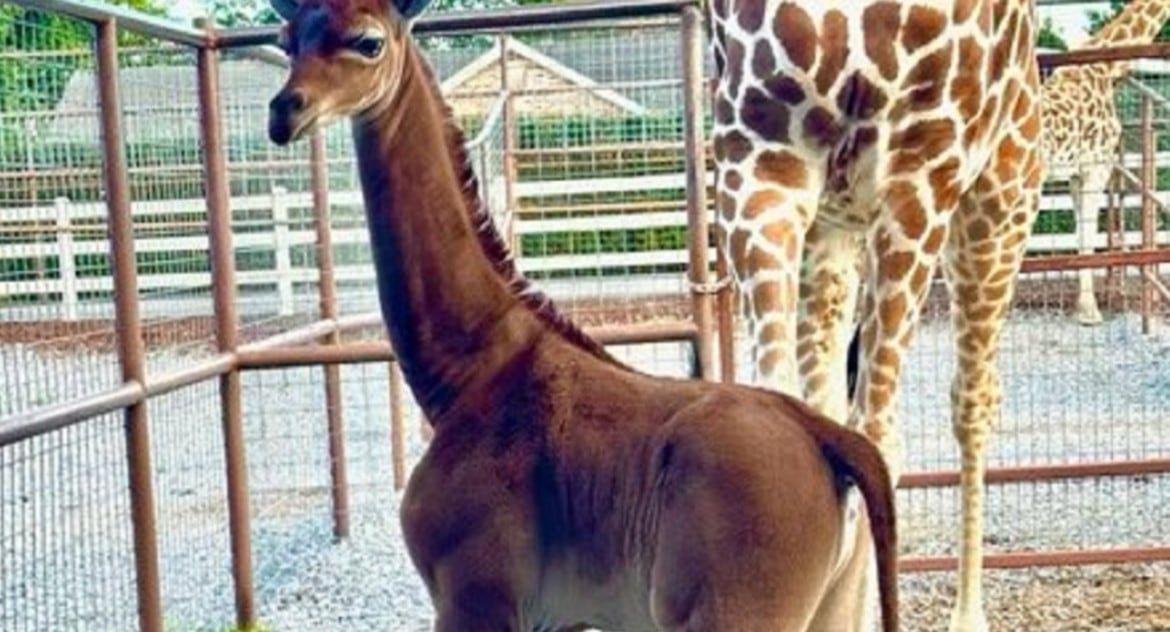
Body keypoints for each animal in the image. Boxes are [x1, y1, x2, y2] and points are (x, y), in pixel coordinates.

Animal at [266, 0, 899, 629]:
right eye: (288, 39)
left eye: (368, 42)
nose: (284, 111)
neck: (468, 373)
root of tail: (830, 440)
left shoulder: (475, 597)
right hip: (835, 607)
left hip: (735, 614)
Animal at [708, 2, 1044, 631]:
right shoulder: (759, 156)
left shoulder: (921, 164)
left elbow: (879, 439)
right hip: (842, 230)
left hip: (1000, 199)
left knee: (971, 401)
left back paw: (968, 615)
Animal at [1042, 0, 1170, 325]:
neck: (1105, 65)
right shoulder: (1097, 166)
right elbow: (1088, 234)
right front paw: (1089, 312)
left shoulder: (1077, 174)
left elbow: (1081, 231)